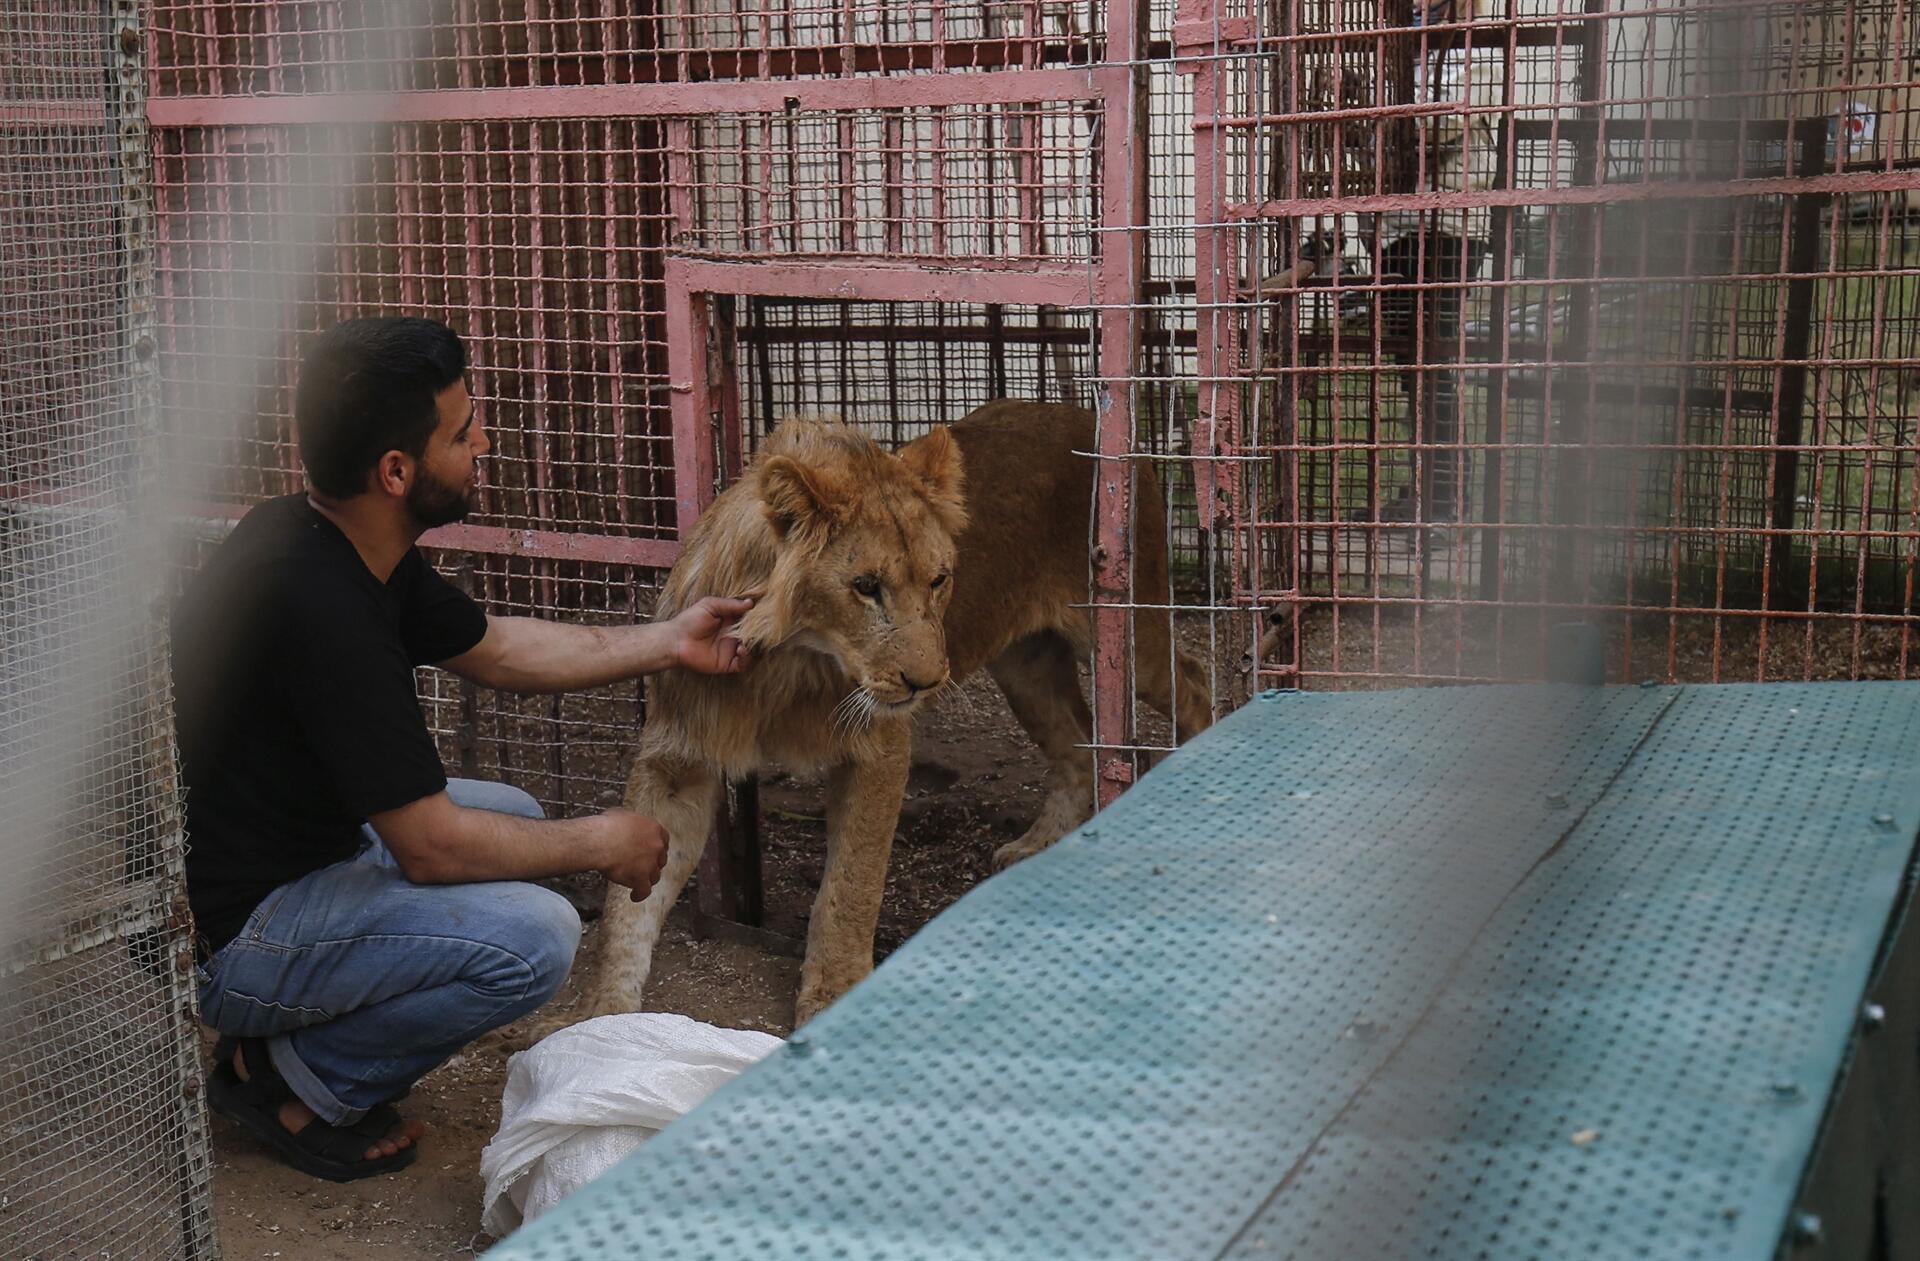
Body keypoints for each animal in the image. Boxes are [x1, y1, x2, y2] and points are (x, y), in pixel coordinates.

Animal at [587, 403, 1213, 1021]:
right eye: (866, 586)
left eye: (939, 579)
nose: (927, 681)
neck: (788, 662)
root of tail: (1089, 416)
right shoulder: (680, 755)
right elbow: (627, 906)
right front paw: (599, 1013)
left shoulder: (879, 747)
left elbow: (851, 884)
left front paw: (833, 991)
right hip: (1026, 666)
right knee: (1078, 748)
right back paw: (1038, 848)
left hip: (1127, 633)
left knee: (1195, 683)